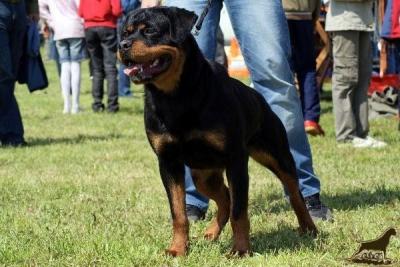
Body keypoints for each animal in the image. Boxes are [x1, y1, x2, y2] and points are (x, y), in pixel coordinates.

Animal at [117, 6, 318, 258]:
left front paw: (240, 250)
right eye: (126, 32)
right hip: (202, 174)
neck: (175, 97)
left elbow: (240, 212)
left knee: (295, 194)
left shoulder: (236, 160)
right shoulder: (168, 162)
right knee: (225, 199)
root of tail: (259, 98)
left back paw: (309, 228)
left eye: (150, 31)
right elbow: (179, 213)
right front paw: (177, 248)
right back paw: (211, 232)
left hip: (278, 156)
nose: (122, 45)